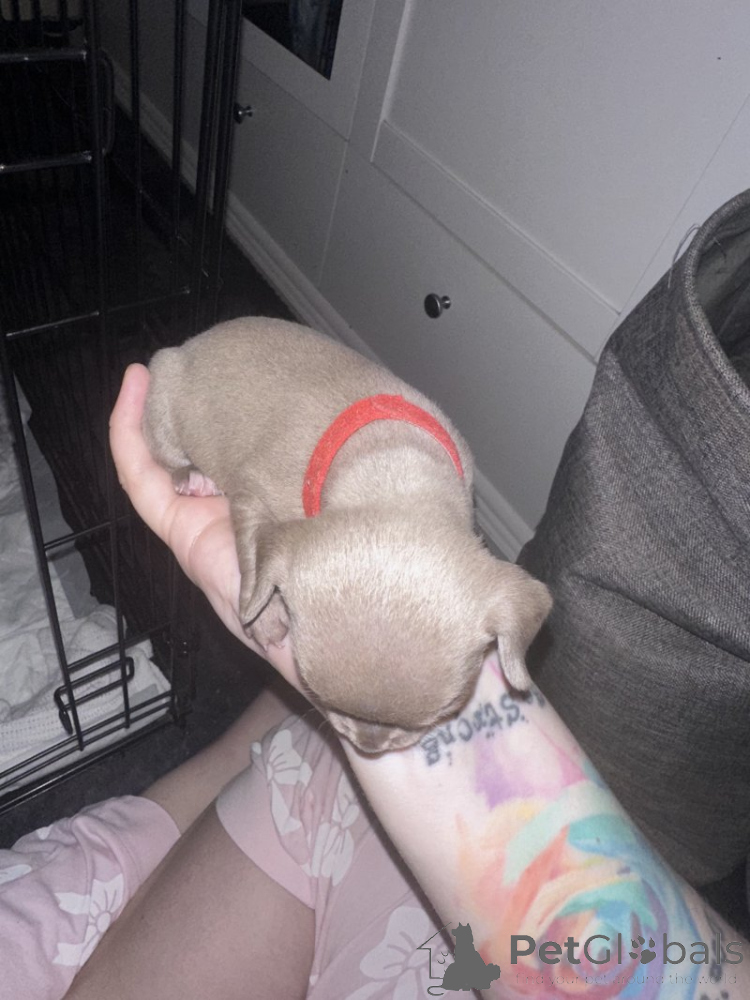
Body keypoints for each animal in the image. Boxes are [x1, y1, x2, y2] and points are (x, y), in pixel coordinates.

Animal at [143, 317, 551, 753]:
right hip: (163, 393)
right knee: (166, 452)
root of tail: (192, 342)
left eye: (442, 711)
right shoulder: (253, 494)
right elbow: (254, 560)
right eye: (317, 697)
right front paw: (264, 616)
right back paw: (192, 478)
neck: (393, 471)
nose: (369, 745)